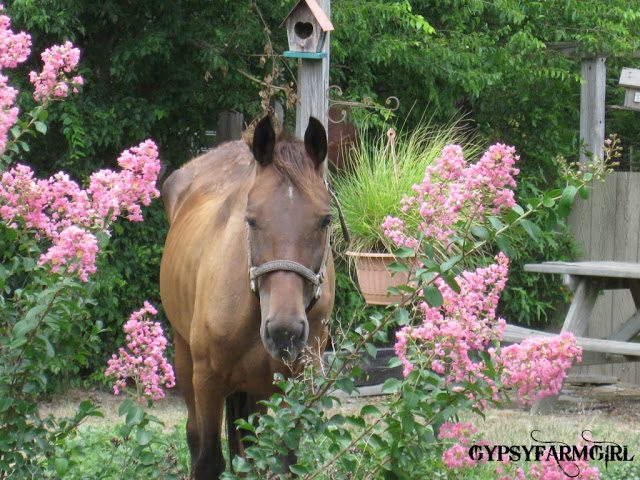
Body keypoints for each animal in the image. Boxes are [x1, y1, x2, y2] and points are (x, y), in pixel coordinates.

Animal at [159, 117, 336, 480]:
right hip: (184, 357)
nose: (284, 332)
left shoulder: (296, 386)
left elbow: (283, 461)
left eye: (325, 219)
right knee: (194, 435)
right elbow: (209, 461)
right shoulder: (208, 383)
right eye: (251, 218)